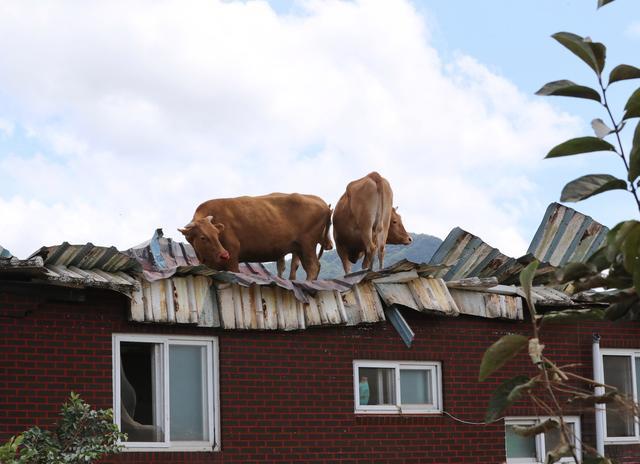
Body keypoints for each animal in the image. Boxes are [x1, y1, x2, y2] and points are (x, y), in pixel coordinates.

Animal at [179, 192, 330, 280]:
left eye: (217, 233)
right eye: (203, 237)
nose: (224, 254)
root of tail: (322, 202)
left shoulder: (232, 258)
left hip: (307, 245)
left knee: (313, 267)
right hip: (300, 248)